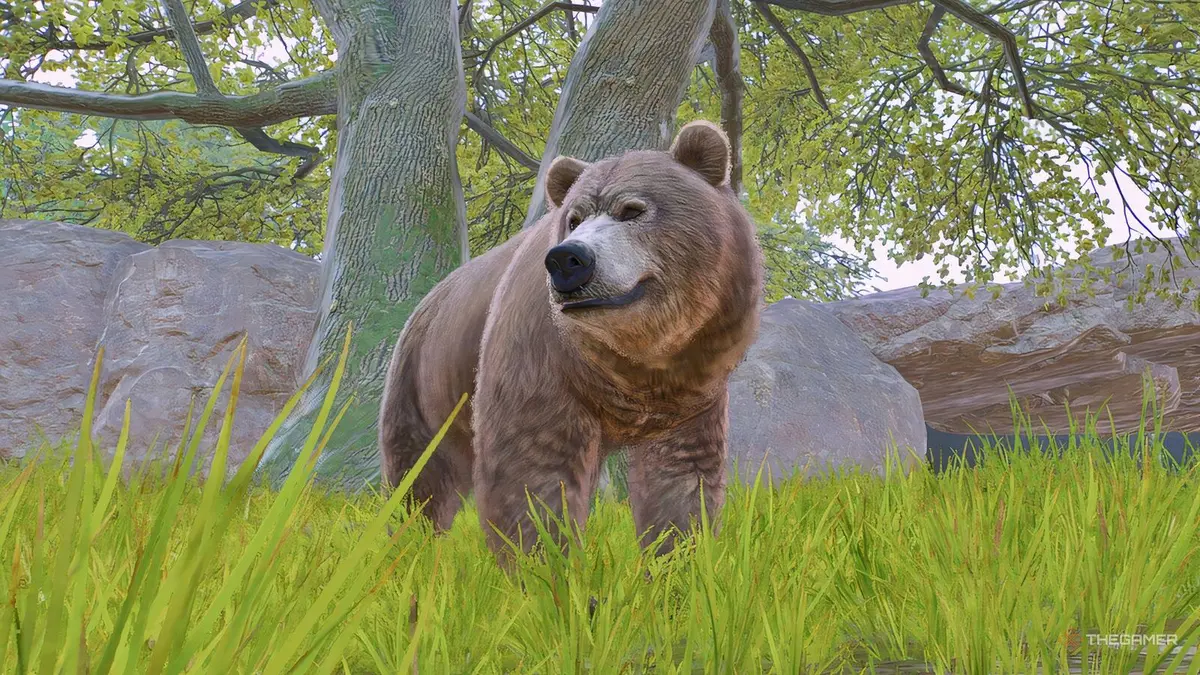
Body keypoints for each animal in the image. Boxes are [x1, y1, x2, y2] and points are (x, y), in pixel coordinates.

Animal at [378, 120, 763, 565]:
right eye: (574, 218)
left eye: (632, 210)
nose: (569, 260)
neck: (634, 360)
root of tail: (427, 299)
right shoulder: (538, 356)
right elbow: (532, 470)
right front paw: (543, 565)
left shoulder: (692, 388)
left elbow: (682, 478)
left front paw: (677, 559)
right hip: (424, 382)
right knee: (421, 474)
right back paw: (411, 544)